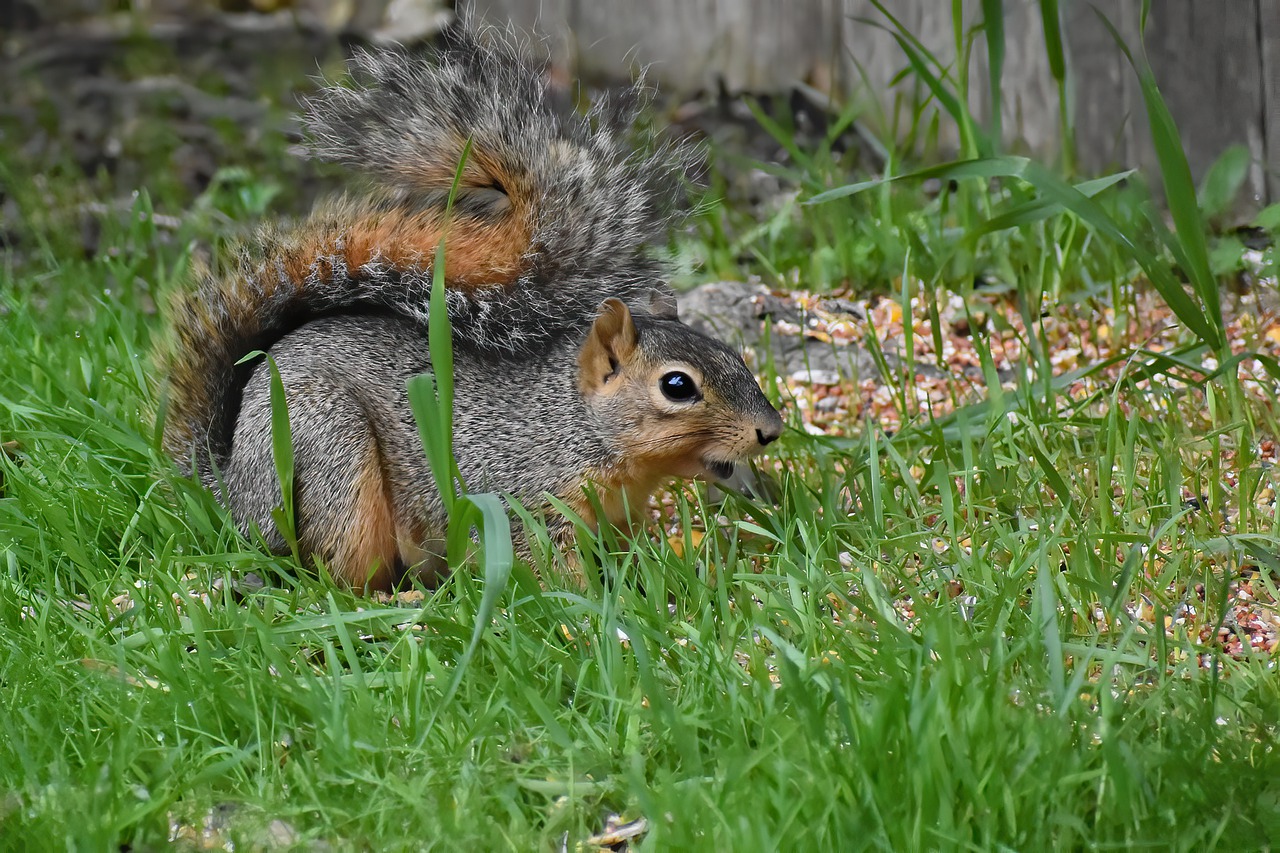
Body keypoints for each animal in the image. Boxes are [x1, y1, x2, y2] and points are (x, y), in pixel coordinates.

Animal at [157, 23, 778, 589]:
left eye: (735, 355)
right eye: (677, 386)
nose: (770, 431)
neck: (578, 427)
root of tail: (231, 489)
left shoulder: (615, 519)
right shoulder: (520, 500)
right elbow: (548, 570)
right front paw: (586, 608)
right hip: (330, 458)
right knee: (332, 576)